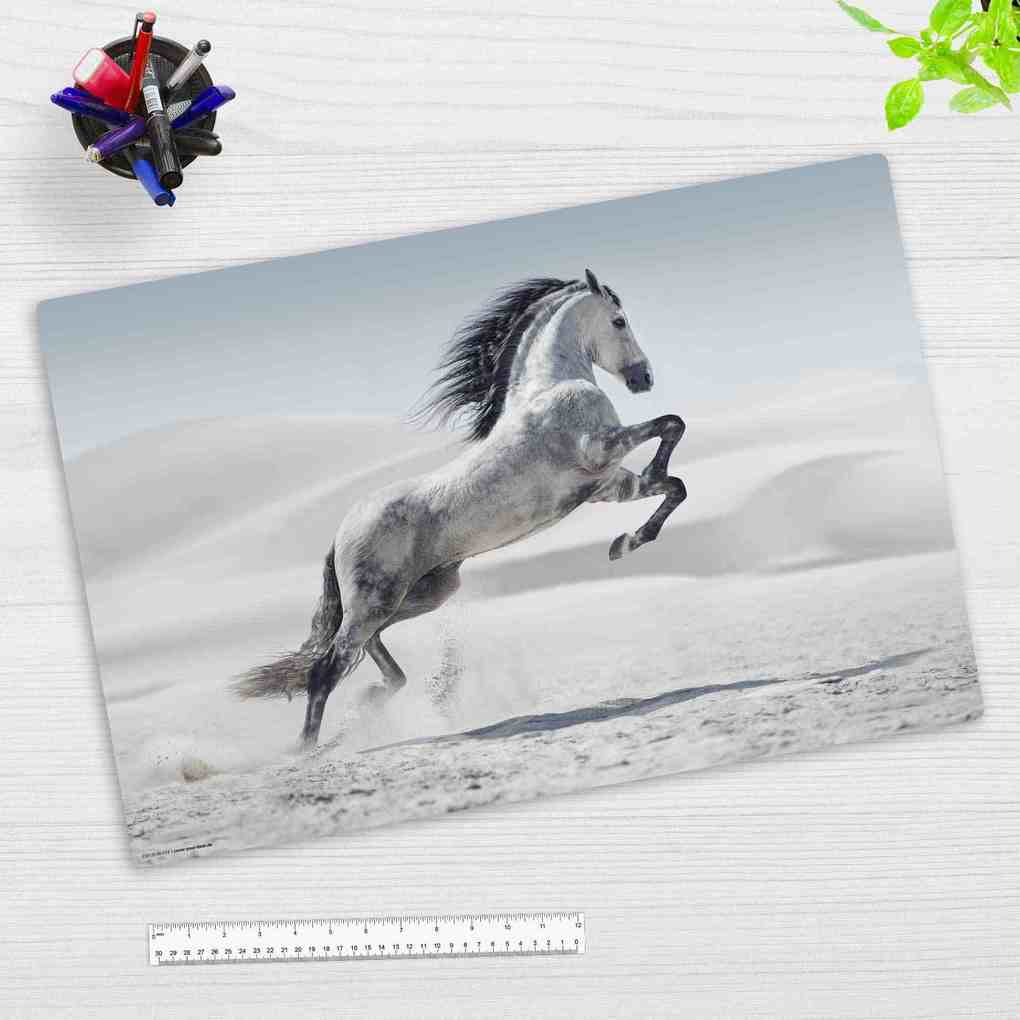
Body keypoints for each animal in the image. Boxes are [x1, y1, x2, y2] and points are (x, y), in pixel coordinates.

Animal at [233, 269, 687, 747]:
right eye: (619, 321)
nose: (644, 377)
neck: (549, 387)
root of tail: (340, 535)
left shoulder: (607, 484)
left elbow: (673, 486)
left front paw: (626, 542)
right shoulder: (601, 449)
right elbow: (672, 425)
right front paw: (636, 517)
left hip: (424, 593)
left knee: (367, 648)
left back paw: (379, 694)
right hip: (377, 600)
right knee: (327, 668)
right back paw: (309, 749)